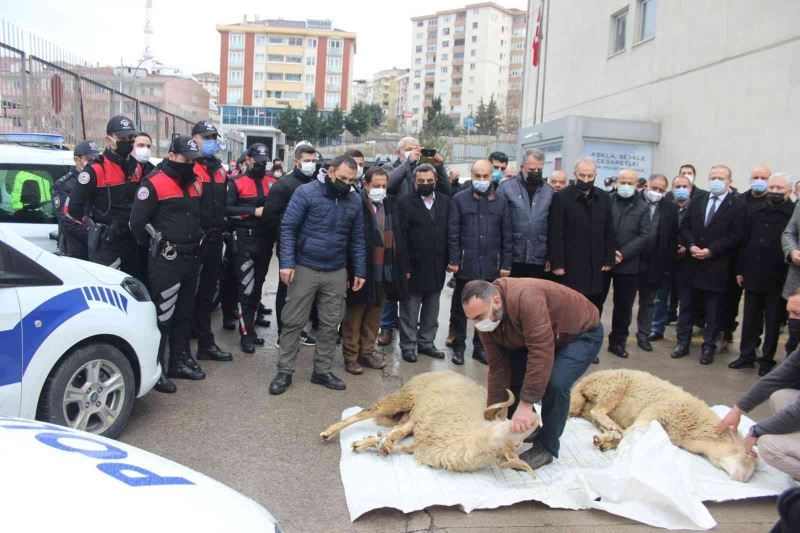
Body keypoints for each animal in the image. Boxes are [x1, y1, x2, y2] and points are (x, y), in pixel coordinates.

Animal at [318, 370, 536, 474]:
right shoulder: (421, 418)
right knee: (368, 411)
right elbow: (392, 436)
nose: (536, 420)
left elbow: (394, 441)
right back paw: (328, 432)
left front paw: (370, 443)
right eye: (510, 424)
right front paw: (366, 443)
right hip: (406, 397)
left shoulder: (420, 440)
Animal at [568, 370, 756, 482]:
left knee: (595, 414)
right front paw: (611, 438)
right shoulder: (657, 410)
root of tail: (585, 381)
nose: (742, 479)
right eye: (746, 455)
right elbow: (630, 432)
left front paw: (606, 441)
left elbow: (627, 437)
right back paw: (613, 426)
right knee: (599, 410)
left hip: (592, 402)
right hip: (614, 386)